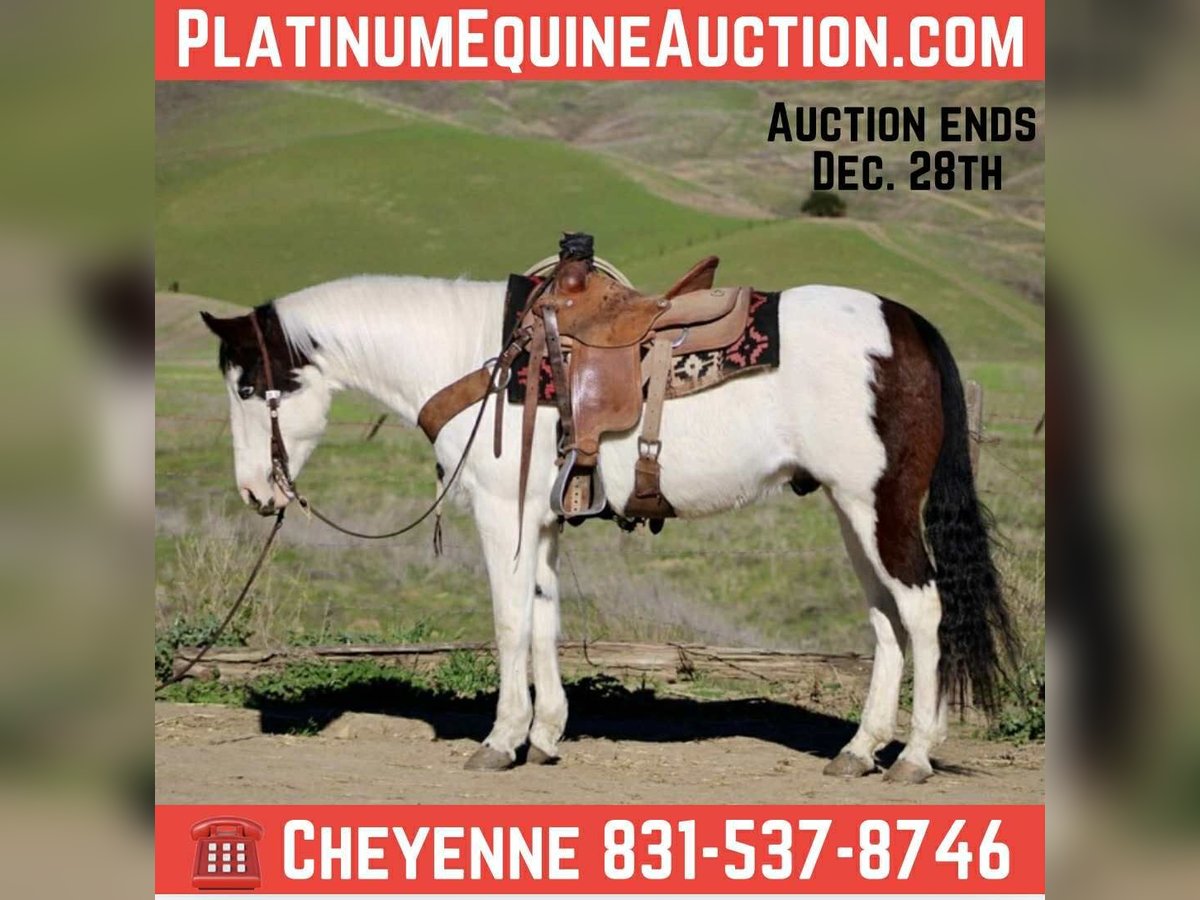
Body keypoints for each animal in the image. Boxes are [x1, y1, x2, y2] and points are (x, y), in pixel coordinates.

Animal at [200, 272, 1014, 784]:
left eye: (246, 387)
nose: (252, 491)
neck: (485, 361)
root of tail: (904, 325)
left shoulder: (501, 512)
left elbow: (508, 622)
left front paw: (501, 740)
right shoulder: (543, 521)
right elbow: (544, 617)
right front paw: (546, 735)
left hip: (882, 505)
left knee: (922, 609)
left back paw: (914, 757)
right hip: (853, 510)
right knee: (885, 620)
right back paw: (860, 749)